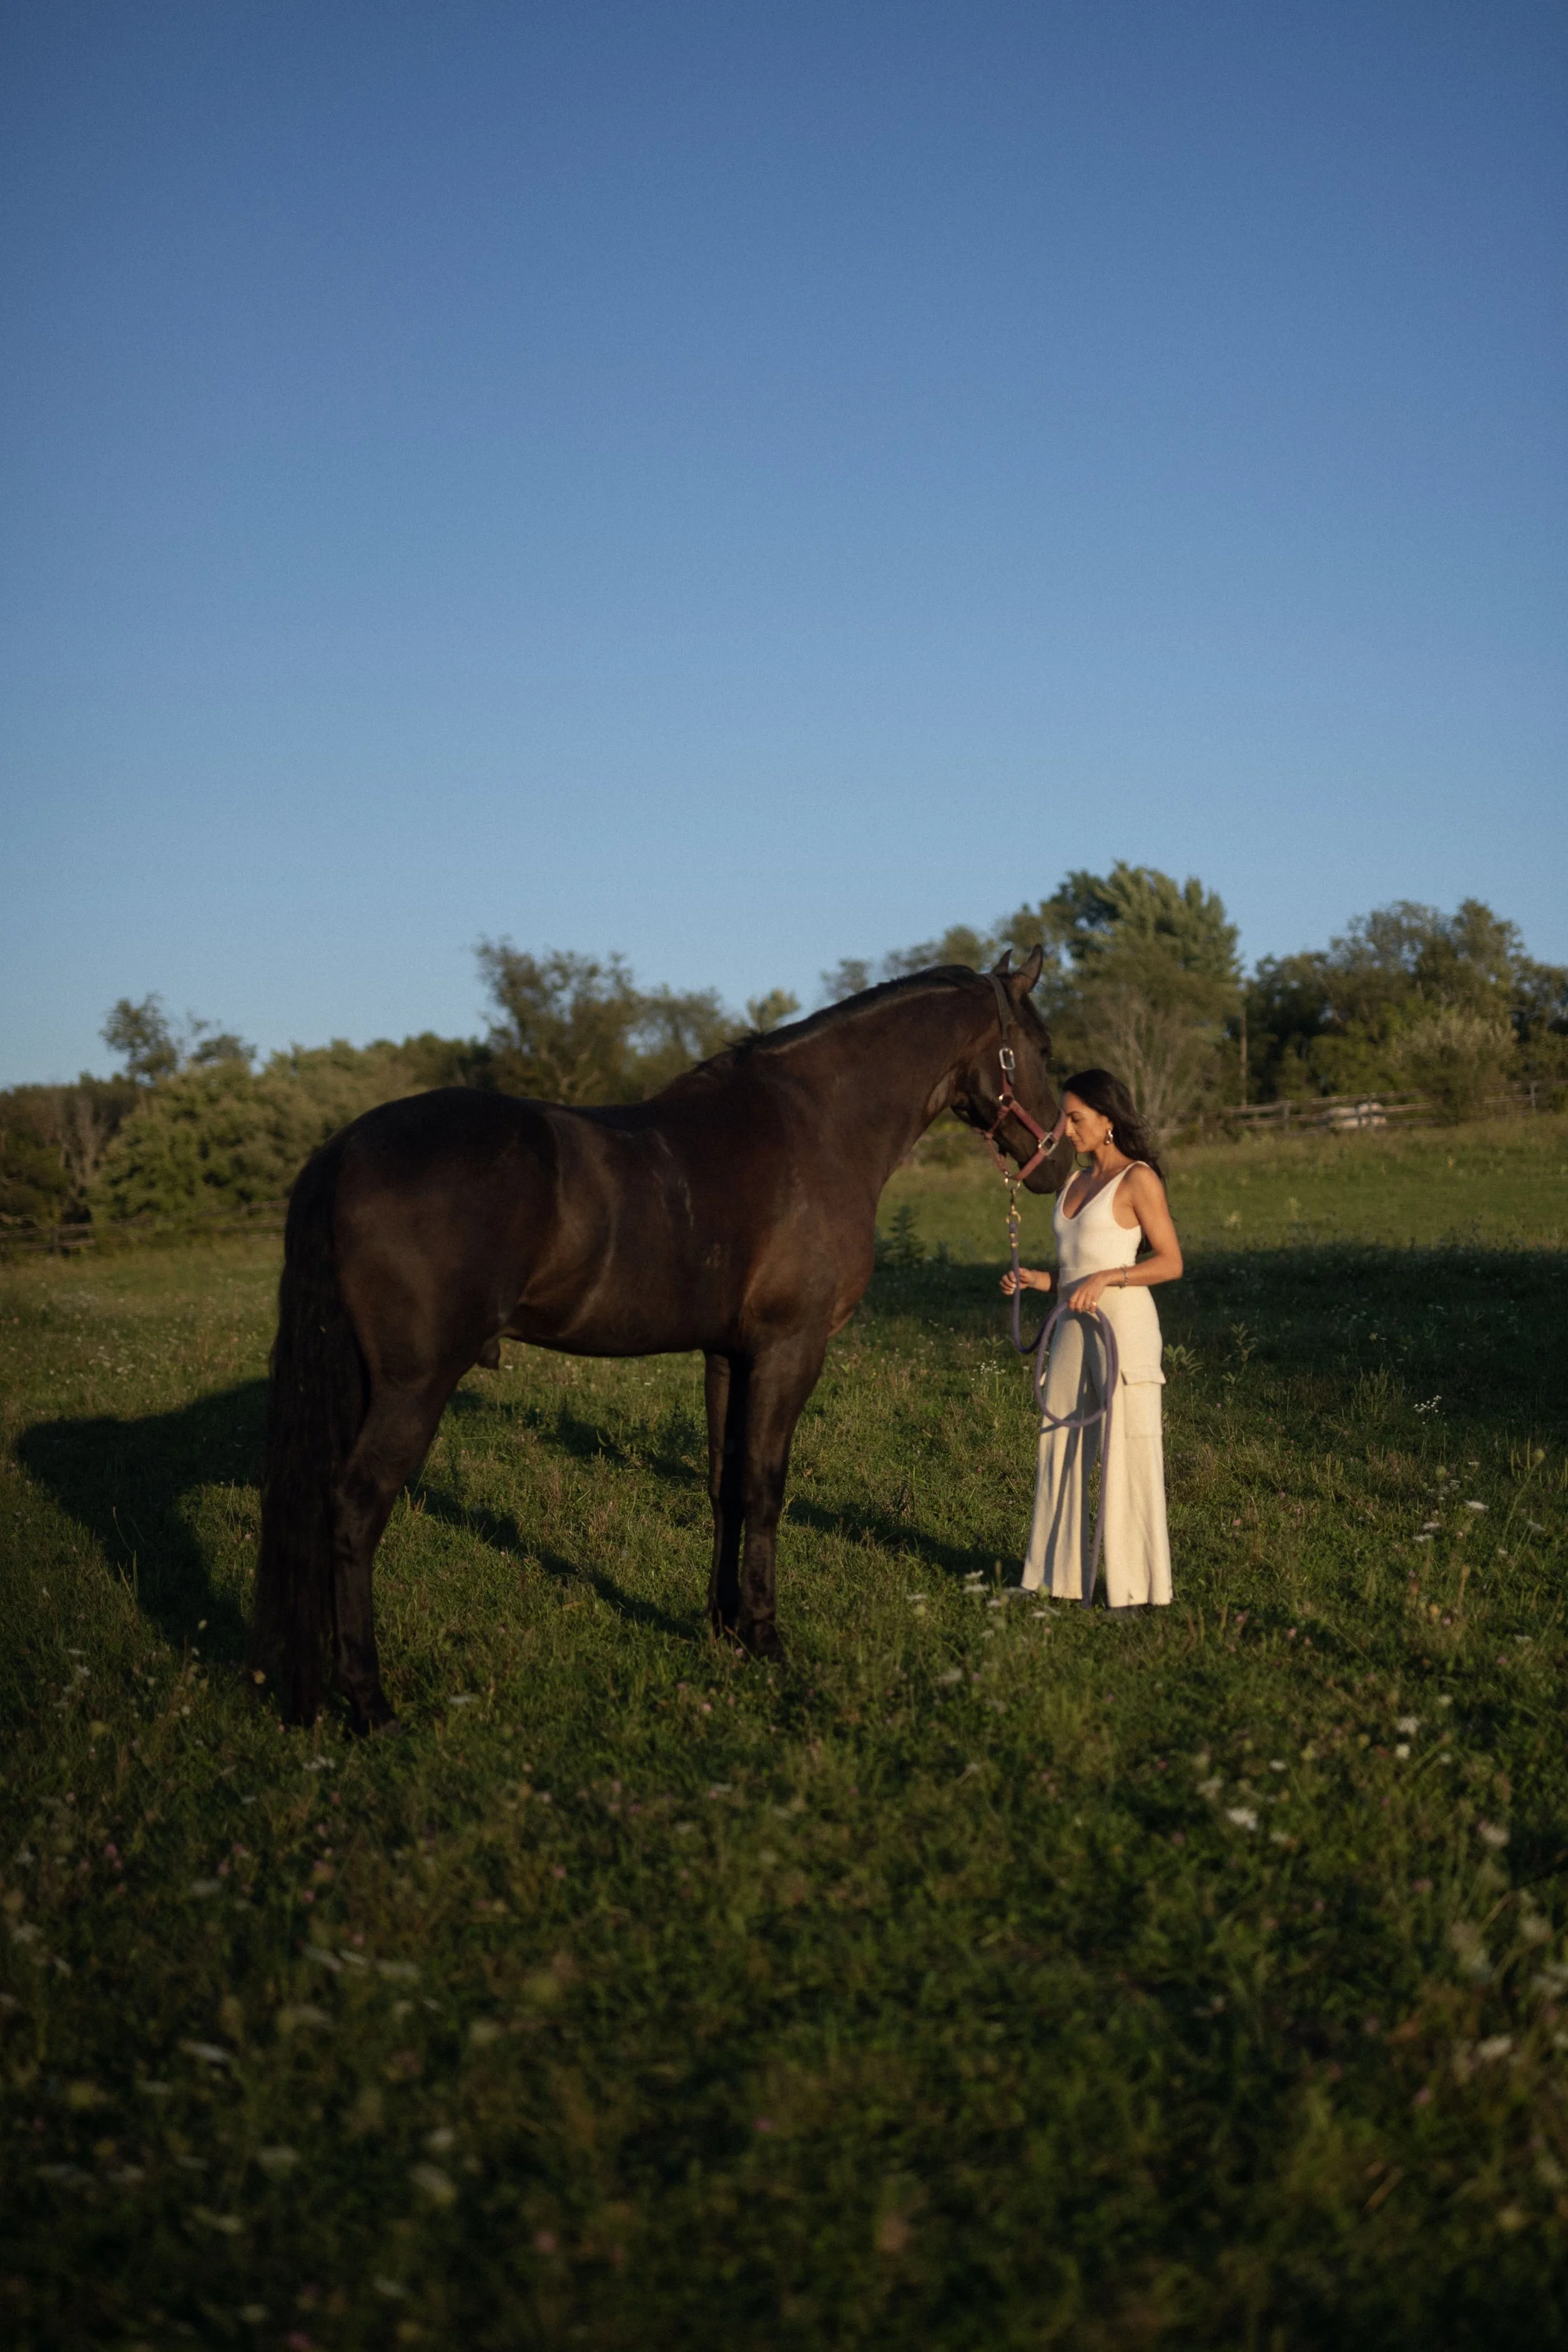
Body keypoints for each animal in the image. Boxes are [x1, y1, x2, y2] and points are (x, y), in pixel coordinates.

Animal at [252, 950, 1072, 1730]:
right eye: (1043, 1048)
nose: (1058, 1166)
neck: (817, 1126)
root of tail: (346, 1149)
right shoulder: (789, 1350)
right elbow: (765, 1488)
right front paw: (766, 1639)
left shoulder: (729, 1356)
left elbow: (726, 1486)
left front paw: (722, 1626)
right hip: (413, 1386)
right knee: (355, 1507)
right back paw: (370, 1705)